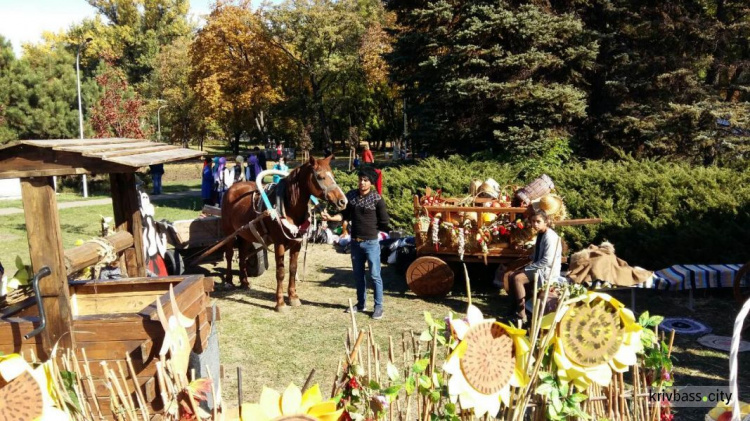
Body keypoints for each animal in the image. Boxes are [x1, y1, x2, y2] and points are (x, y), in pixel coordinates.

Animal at [220, 156, 350, 310]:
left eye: (333, 176)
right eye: (320, 177)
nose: (343, 201)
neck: (288, 206)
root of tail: (232, 188)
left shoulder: (296, 244)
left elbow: (293, 269)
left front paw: (293, 297)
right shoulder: (279, 244)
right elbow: (280, 272)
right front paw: (280, 302)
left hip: (246, 233)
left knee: (242, 255)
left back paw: (244, 281)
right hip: (229, 232)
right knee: (229, 255)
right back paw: (228, 281)